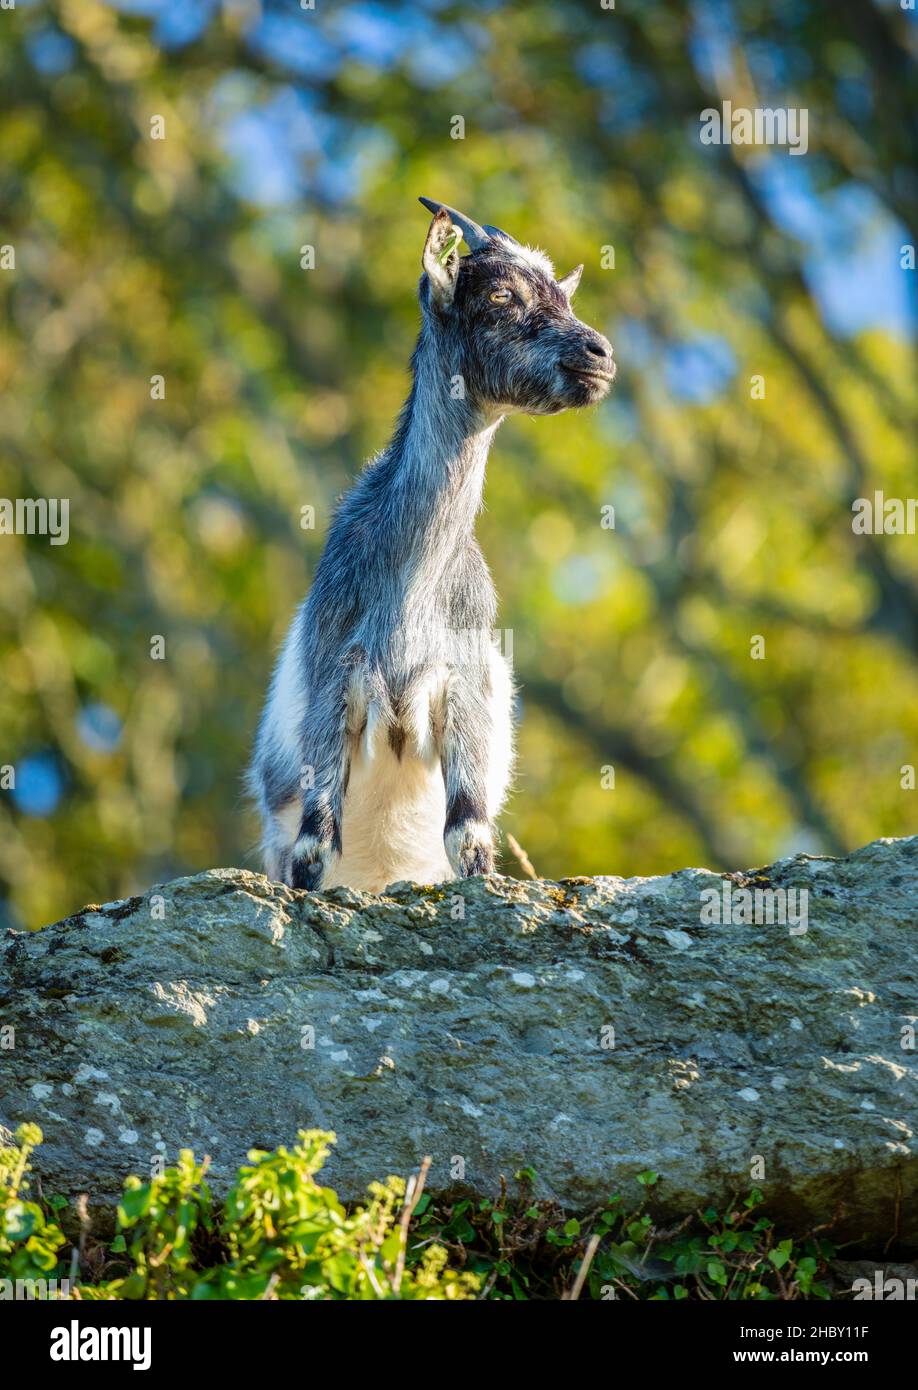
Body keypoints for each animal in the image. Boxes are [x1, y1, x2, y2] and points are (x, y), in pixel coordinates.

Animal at [249, 198, 615, 892]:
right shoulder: (330, 679)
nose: (600, 353)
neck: (410, 587)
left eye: (564, 296)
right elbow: (314, 844)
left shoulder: (466, 688)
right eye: (500, 294)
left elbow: (469, 836)